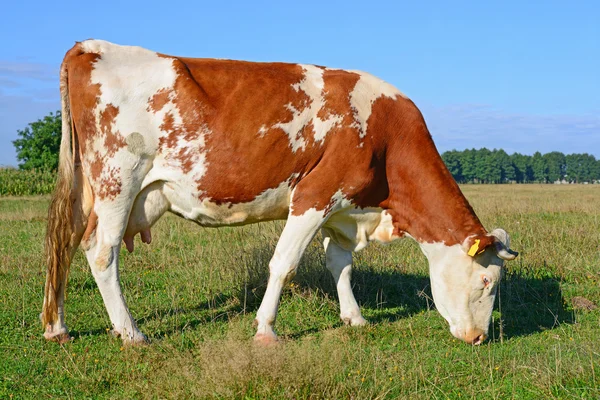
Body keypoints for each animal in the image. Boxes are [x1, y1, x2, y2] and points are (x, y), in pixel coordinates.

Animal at [43, 41, 516, 346]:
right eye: (487, 282)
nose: (479, 338)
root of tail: (90, 46)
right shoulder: (314, 195)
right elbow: (284, 264)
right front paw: (266, 330)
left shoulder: (341, 210)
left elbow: (340, 265)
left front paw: (355, 318)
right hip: (118, 180)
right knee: (100, 252)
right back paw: (131, 333)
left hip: (88, 188)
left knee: (64, 243)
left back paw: (57, 327)